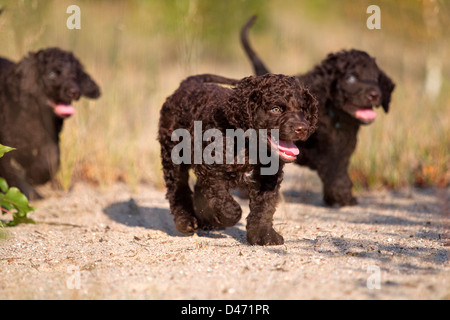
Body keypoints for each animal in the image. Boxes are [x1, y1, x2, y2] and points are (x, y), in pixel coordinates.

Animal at [158, 74, 316, 245]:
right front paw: (227, 216)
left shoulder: (268, 178)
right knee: (177, 188)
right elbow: (223, 200)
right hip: (172, 154)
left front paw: (265, 235)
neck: (249, 145)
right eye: (276, 109)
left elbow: (264, 208)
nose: (302, 129)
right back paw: (186, 221)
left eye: (302, 109)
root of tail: (188, 83)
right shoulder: (211, 169)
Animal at [243, 15, 394, 205]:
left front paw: (337, 197)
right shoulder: (321, 151)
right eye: (351, 78)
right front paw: (343, 195)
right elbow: (334, 171)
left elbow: (338, 169)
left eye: (375, 78)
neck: (337, 119)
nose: (375, 94)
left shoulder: (344, 149)